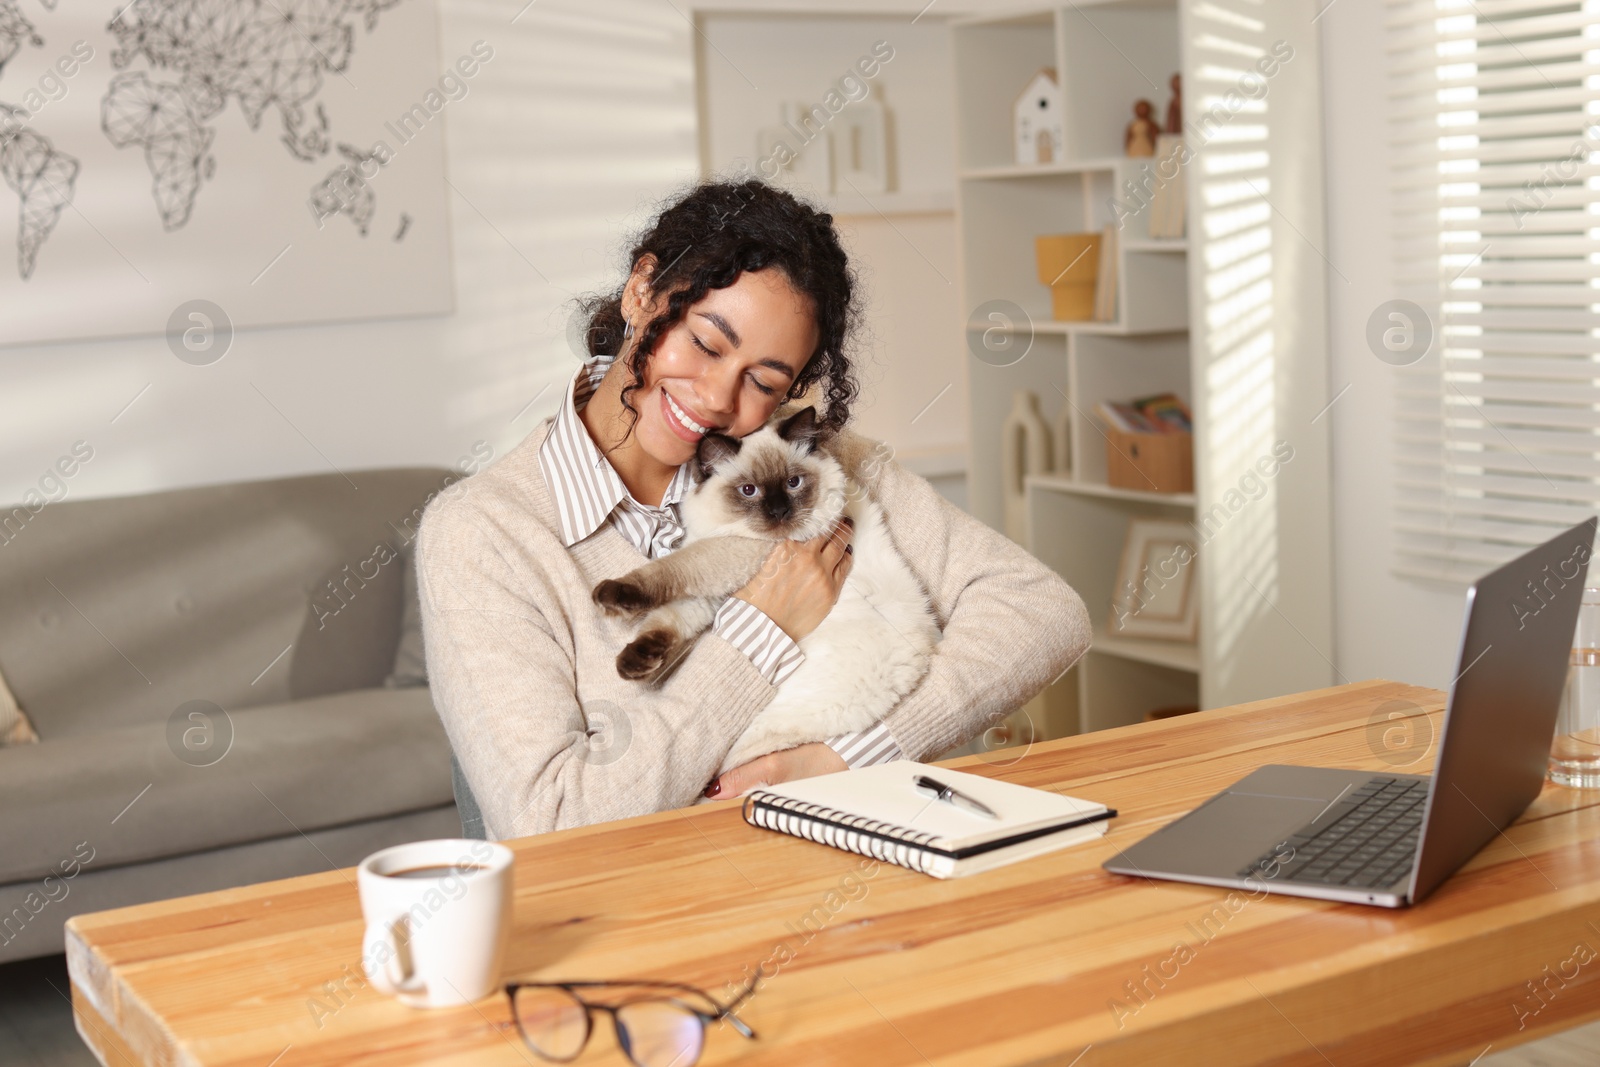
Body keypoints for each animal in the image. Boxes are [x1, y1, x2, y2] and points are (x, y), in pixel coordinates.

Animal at [588, 406, 934, 783]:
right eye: (749, 490)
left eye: (793, 483)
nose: (779, 512)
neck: (725, 526)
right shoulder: (714, 594)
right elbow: (666, 620)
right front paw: (634, 664)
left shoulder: (739, 554)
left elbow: (670, 571)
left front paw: (611, 596)